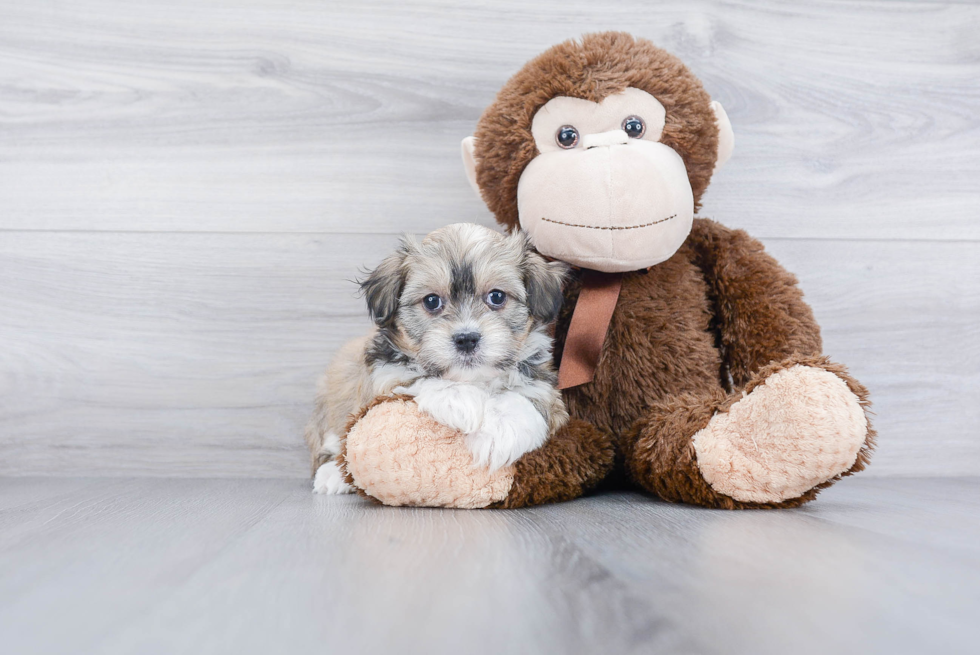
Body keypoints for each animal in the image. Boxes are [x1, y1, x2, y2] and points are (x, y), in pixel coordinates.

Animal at [304, 223, 568, 494]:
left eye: (497, 296)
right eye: (432, 301)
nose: (466, 339)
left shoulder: (544, 386)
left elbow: (525, 397)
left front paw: (499, 432)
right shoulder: (383, 376)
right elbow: (420, 378)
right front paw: (463, 401)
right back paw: (333, 474)